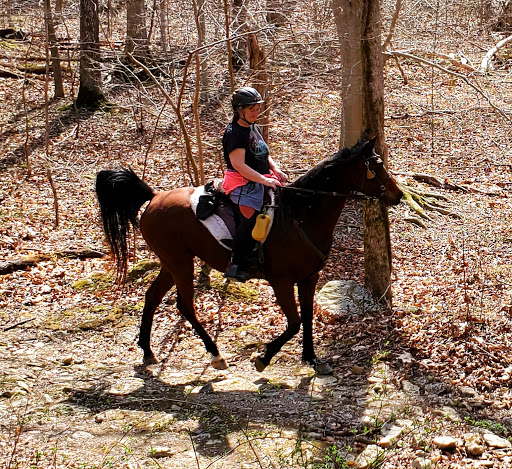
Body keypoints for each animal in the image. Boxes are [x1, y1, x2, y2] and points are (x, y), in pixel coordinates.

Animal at [94, 132, 402, 372]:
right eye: (376, 165)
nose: (397, 195)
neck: (300, 215)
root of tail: (154, 197)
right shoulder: (281, 281)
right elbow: (294, 323)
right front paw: (264, 358)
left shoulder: (309, 278)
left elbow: (306, 318)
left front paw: (312, 359)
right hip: (180, 262)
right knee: (185, 305)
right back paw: (215, 354)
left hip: (172, 262)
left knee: (152, 296)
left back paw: (147, 351)